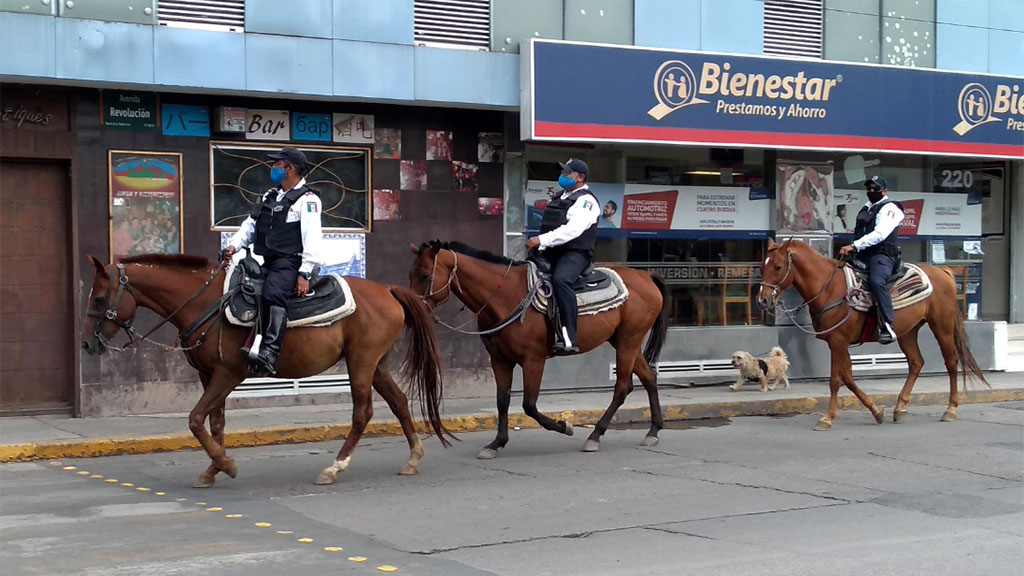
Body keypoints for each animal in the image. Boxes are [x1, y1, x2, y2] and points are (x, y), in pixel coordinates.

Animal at [79, 253, 448, 481]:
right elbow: (215, 423)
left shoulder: (228, 374)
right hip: (376, 364)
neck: (205, 304)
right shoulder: (208, 375)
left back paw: (334, 468)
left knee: (363, 413)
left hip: (361, 363)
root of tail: (388, 290)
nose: (86, 345)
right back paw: (413, 458)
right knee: (399, 402)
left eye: (98, 298)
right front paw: (213, 469)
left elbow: (195, 419)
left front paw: (225, 463)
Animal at [407, 239, 671, 455]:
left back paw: (595, 435)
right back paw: (653, 431)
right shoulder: (499, 359)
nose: (411, 312)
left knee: (622, 387)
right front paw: (496, 443)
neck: (505, 296)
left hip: (628, 340)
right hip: (624, 340)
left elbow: (529, 405)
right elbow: (502, 400)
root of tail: (646, 277)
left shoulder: (533, 360)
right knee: (649, 377)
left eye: (425, 276)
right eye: (411, 274)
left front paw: (564, 427)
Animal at [757, 235, 987, 428]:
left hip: (942, 326)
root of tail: (943, 272)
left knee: (951, 362)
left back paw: (950, 409)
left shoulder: (838, 341)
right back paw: (900, 407)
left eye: (778, 267)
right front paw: (876, 411)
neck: (829, 288)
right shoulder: (838, 343)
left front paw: (827, 418)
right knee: (916, 362)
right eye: (762, 267)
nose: (762, 300)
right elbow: (848, 378)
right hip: (908, 332)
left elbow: (835, 380)